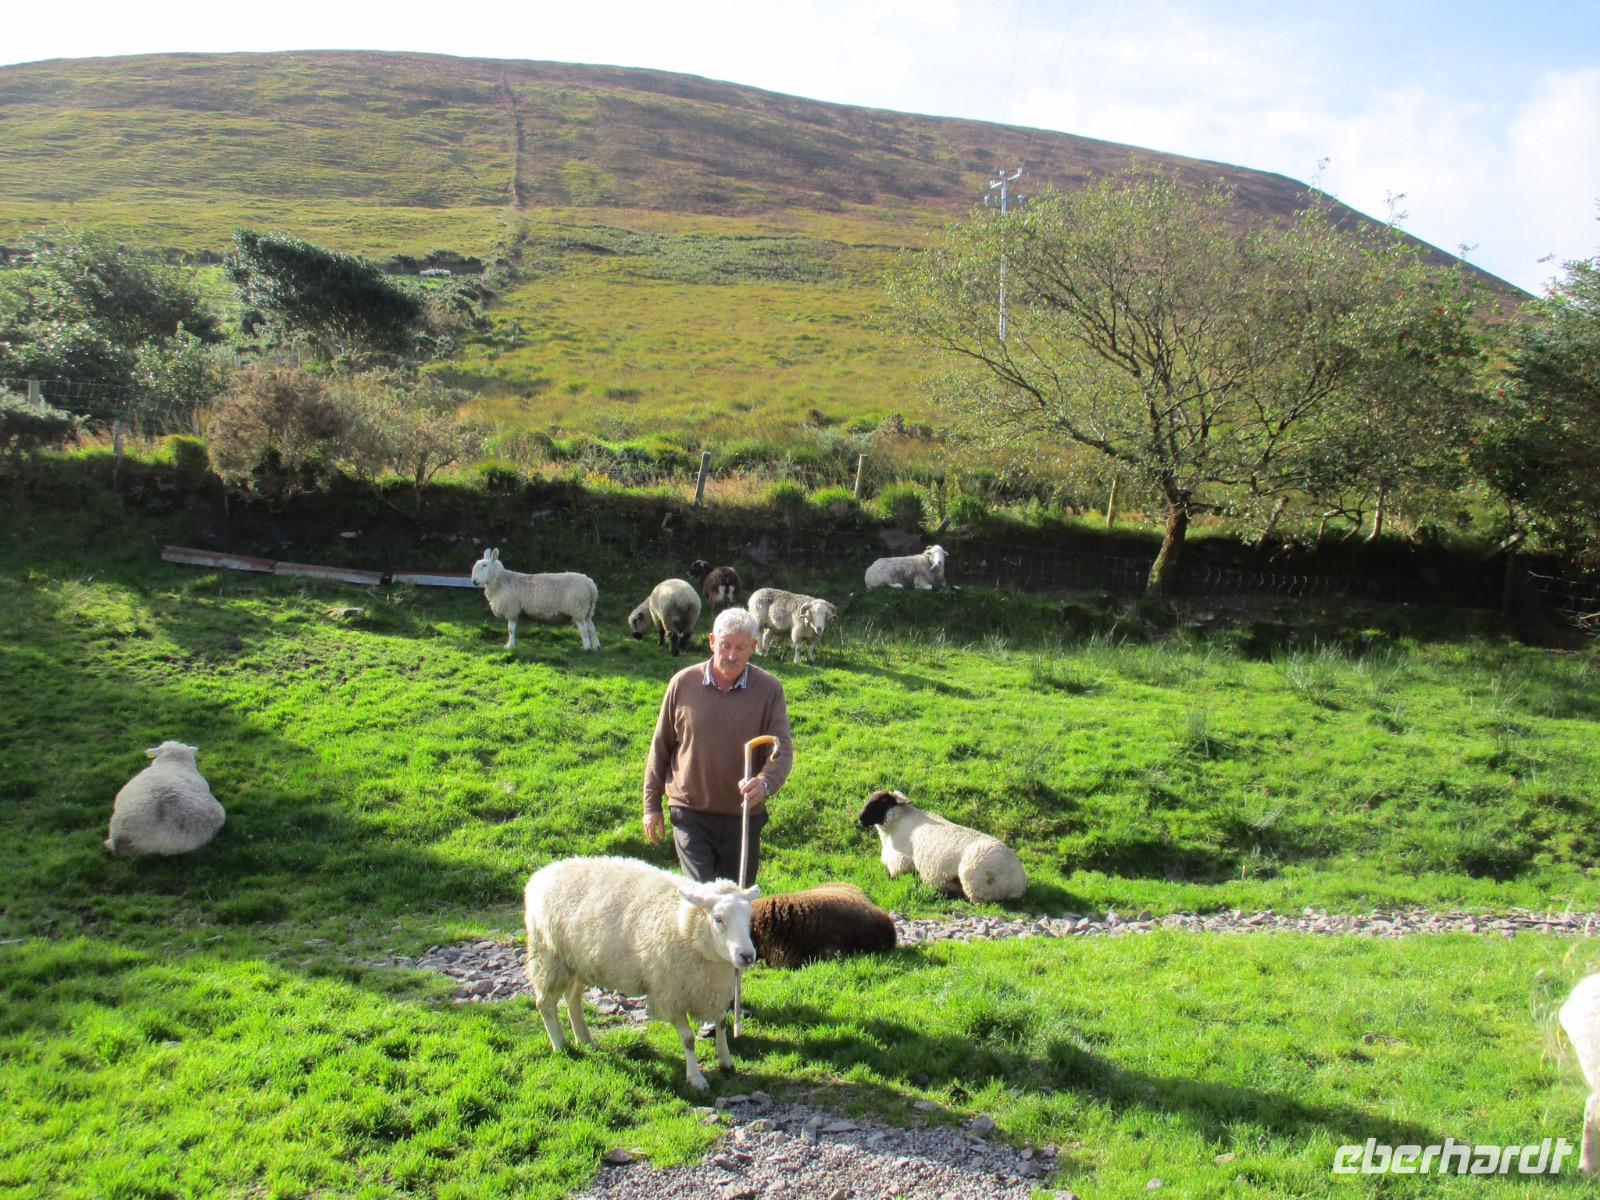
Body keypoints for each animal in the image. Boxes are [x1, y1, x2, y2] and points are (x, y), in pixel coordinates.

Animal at [469, 547, 599, 651]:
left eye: (485, 565)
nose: (474, 581)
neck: (502, 581)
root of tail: (591, 585)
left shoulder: (512, 609)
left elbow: (510, 629)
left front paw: (510, 646)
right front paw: (511, 644)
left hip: (578, 608)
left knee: (584, 629)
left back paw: (587, 648)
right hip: (587, 609)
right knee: (591, 627)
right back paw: (596, 646)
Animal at [523, 856, 759, 1090]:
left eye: (749, 917)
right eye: (718, 919)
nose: (747, 956)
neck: (685, 927)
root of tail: (542, 873)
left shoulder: (712, 990)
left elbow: (722, 1024)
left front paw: (726, 1062)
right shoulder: (670, 995)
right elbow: (688, 1039)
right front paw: (695, 1078)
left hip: (577, 963)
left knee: (572, 999)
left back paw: (584, 1038)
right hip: (548, 956)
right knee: (545, 1004)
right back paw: (561, 1046)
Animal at [857, 789, 1027, 903]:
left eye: (883, 802)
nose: (861, 818)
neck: (895, 825)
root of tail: (1017, 883)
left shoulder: (900, 865)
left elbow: (891, 874)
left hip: (974, 879)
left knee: (976, 899)